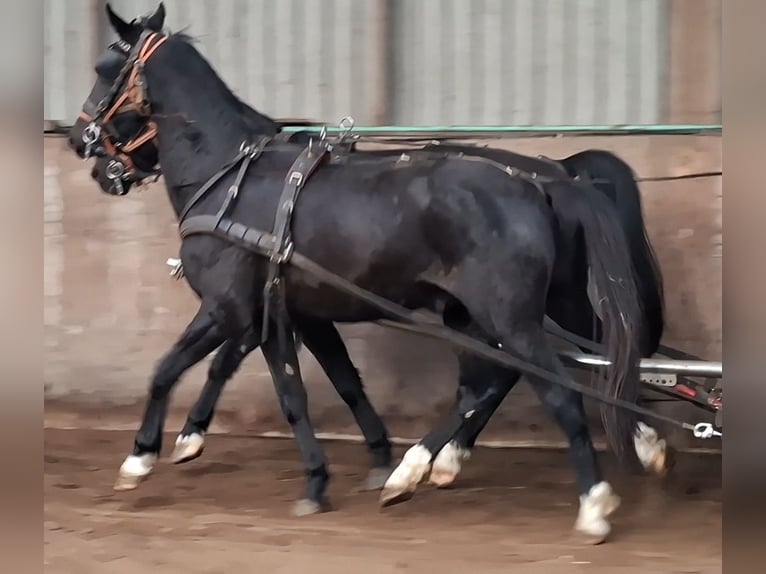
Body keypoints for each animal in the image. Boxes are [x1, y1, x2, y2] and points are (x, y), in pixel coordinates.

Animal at [70, 2, 650, 543]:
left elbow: (168, 370)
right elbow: (309, 391)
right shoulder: (286, 314)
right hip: (485, 315)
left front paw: (142, 456)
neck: (230, 176)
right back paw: (420, 468)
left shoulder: (226, 309)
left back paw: (593, 502)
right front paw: (325, 476)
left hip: (510, 317)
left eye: (104, 67)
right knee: (506, 379)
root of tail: (544, 180)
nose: (82, 144)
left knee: (559, 390)